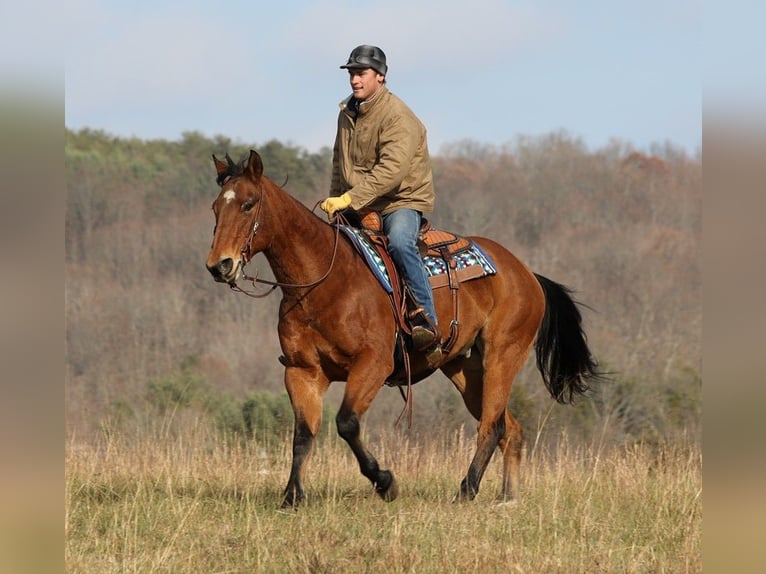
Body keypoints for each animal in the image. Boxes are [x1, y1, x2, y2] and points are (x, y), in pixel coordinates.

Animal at [206, 149, 601, 508]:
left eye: (248, 204)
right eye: (214, 208)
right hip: (463, 368)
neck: (324, 282)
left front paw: (385, 482)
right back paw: (507, 497)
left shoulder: (373, 365)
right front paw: (292, 497)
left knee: (492, 426)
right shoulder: (302, 371)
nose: (219, 265)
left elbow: (347, 423)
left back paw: (466, 490)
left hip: (502, 357)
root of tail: (526, 274)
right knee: (511, 428)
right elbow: (303, 435)